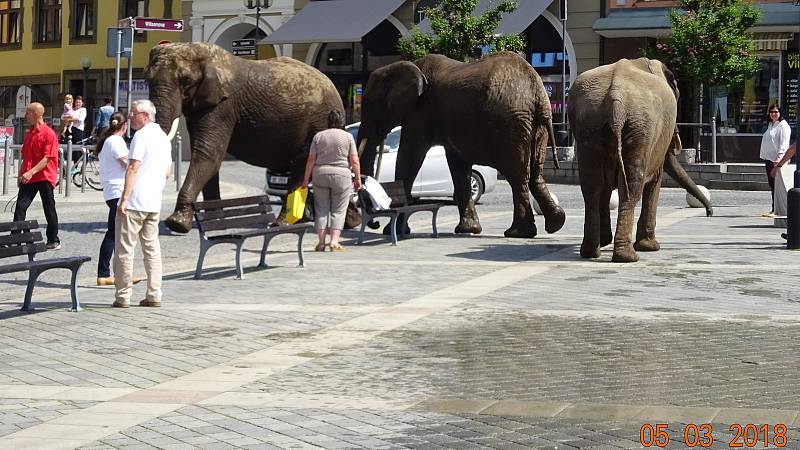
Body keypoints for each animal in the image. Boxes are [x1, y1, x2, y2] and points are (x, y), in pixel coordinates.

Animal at [145, 42, 346, 234]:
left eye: (185, 80)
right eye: (147, 79)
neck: (200, 50)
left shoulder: (223, 106)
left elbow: (207, 155)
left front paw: (176, 224)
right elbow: (208, 158)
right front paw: (215, 222)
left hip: (318, 123)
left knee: (300, 169)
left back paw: (281, 223)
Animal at [356, 51, 568, 237]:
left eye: (370, 103)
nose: (375, 223)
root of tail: (537, 91)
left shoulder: (421, 112)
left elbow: (409, 157)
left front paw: (392, 231)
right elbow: (458, 166)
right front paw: (468, 230)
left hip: (510, 124)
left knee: (517, 175)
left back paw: (518, 233)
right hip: (536, 127)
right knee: (535, 172)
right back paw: (555, 223)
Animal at [564, 59, 716, 264]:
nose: (709, 213)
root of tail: (616, 97)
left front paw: (605, 241)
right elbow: (655, 180)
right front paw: (650, 247)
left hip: (589, 125)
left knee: (592, 186)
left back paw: (591, 252)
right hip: (641, 126)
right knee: (631, 188)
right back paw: (627, 257)